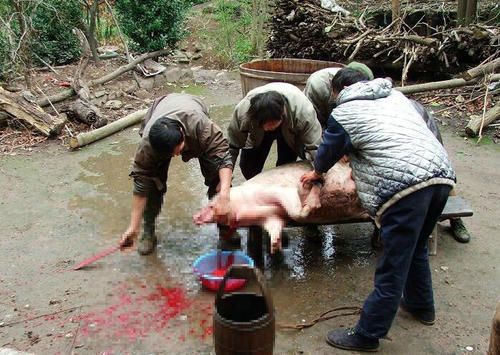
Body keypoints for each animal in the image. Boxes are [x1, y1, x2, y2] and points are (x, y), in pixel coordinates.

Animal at [193, 160, 370, 254]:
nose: (194, 217)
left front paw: (309, 197)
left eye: (210, 205)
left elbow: (296, 213)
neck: (242, 209)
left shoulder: (278, 191)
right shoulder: (271, 217)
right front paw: (275, 247)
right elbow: (275, 227)